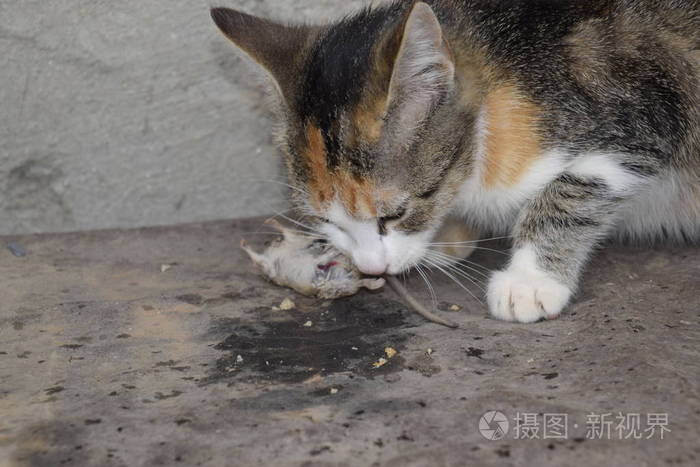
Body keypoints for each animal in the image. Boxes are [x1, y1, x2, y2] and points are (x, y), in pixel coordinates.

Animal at [212, 0, 700, 324]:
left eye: (394, 213)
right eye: (323, 219)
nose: (372, 268)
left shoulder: (642, 110)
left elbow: (573, 189)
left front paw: (530, 280)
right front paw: (449, 237)